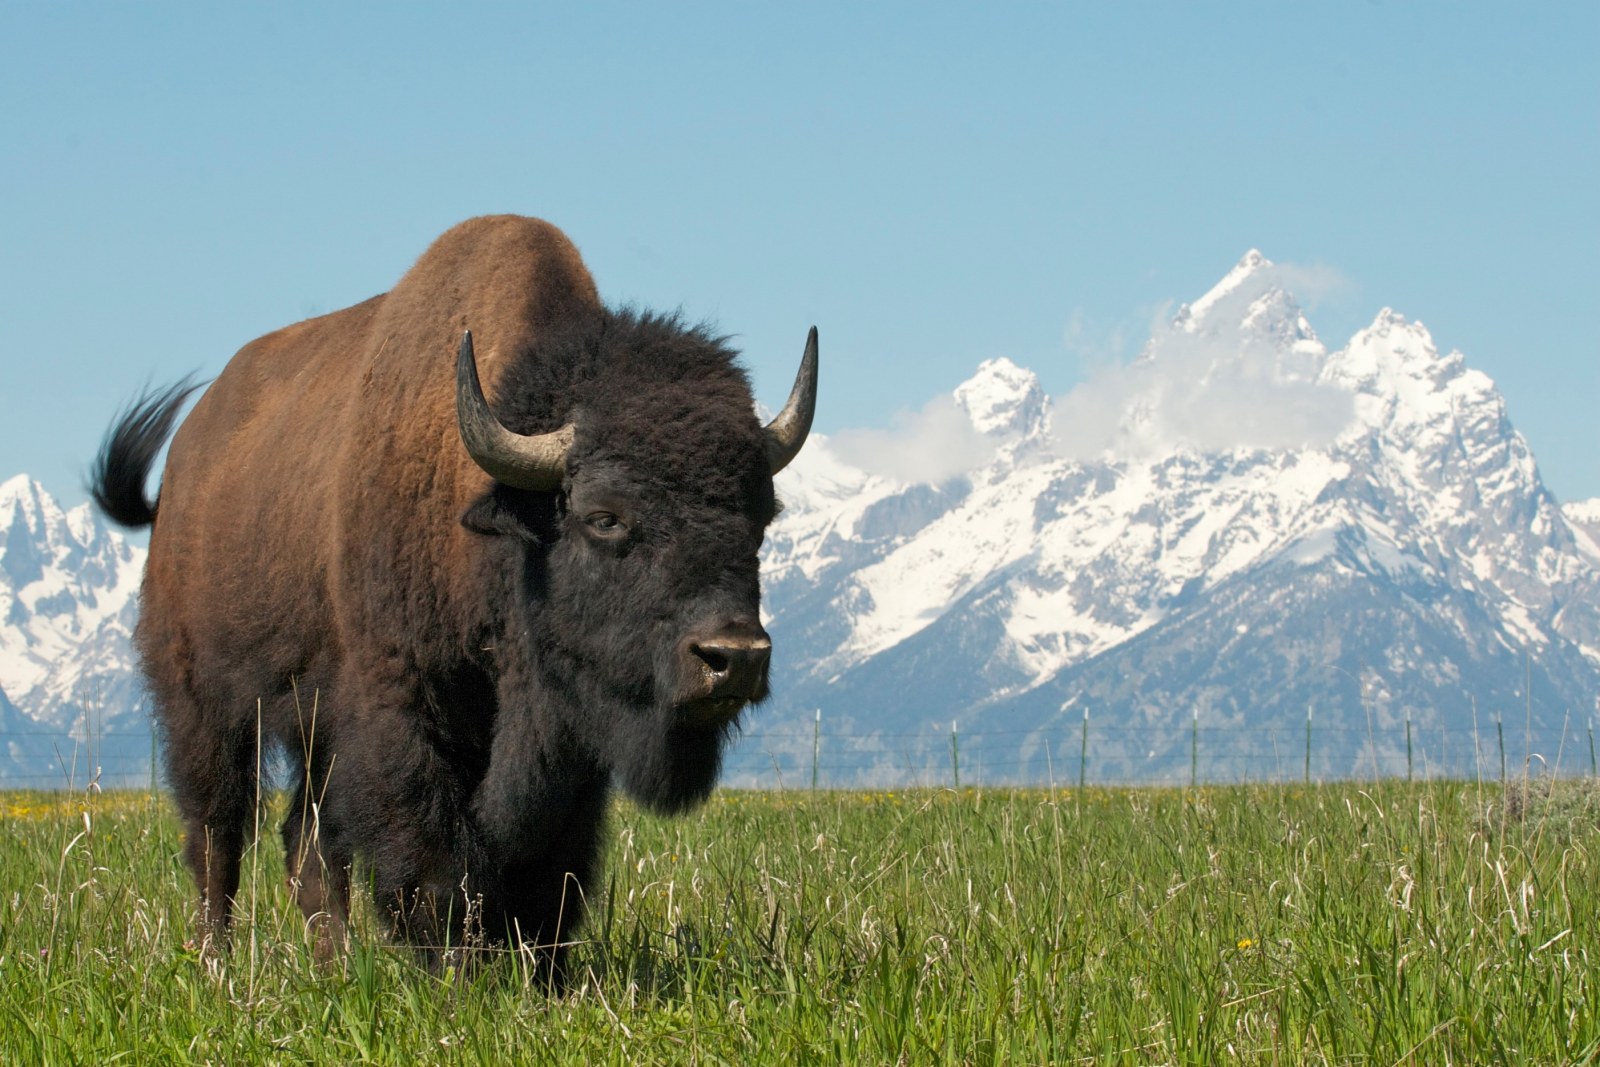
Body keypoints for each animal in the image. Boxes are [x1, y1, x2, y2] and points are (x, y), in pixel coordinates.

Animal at [90, 217, 812, 979]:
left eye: (761, 514)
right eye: (604, 516)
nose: (733, 657)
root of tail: (183, 466)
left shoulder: (566, 746)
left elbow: (549, 869)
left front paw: (540, 975)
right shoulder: (401, 708)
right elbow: (433, 854)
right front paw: (458, 971)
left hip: (310, 727)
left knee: (306, 845)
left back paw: (333, 966)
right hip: (204, 704)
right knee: (218, 835)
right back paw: (219, 967)